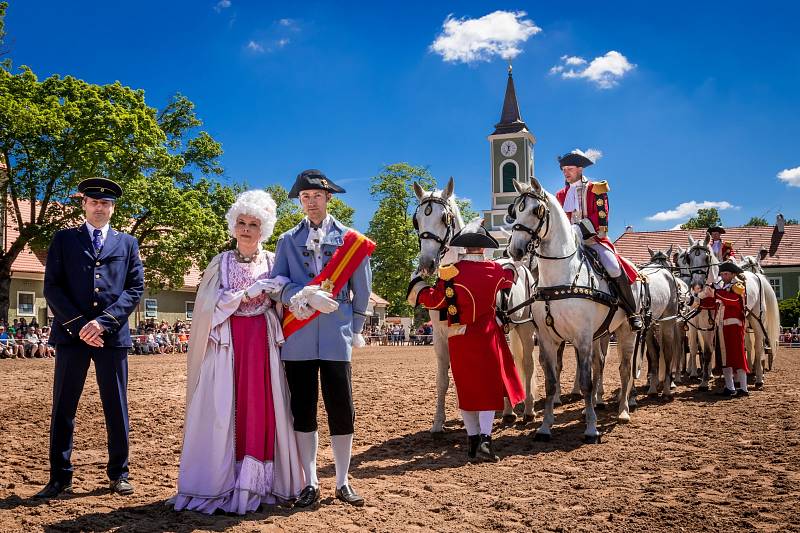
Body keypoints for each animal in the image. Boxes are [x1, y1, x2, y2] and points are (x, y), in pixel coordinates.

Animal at [506, 179, 636, 440]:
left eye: (537, 210)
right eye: (515, 210)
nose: (515, 250)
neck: (561, 278)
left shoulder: (582, 337)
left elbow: (586, 381)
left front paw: (592, 429)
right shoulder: (548, 339)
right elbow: (551, 382)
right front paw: (545, 426)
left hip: (626, 331)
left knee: (625, 369)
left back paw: (623, 411)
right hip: (600, 335)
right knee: (599, 364)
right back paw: (593, 406)